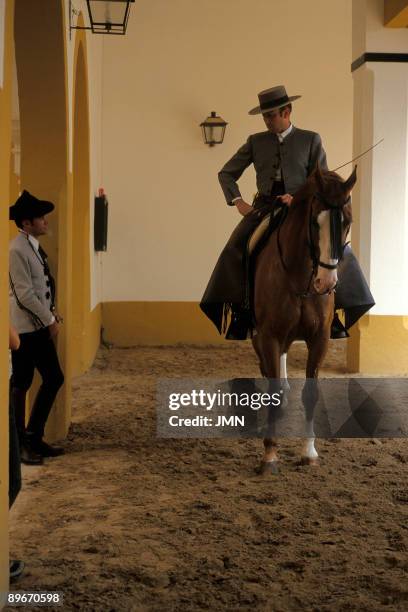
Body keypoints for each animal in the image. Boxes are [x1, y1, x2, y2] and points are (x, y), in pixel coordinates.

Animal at [253, 163, 356, 474]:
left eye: (347, 222)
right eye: (314, 222)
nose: (326, 283)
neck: (299, 276)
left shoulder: (319, 338)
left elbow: (310, 393)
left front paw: (309, 451)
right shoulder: (269, 335)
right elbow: (272, 387)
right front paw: (269, 454)